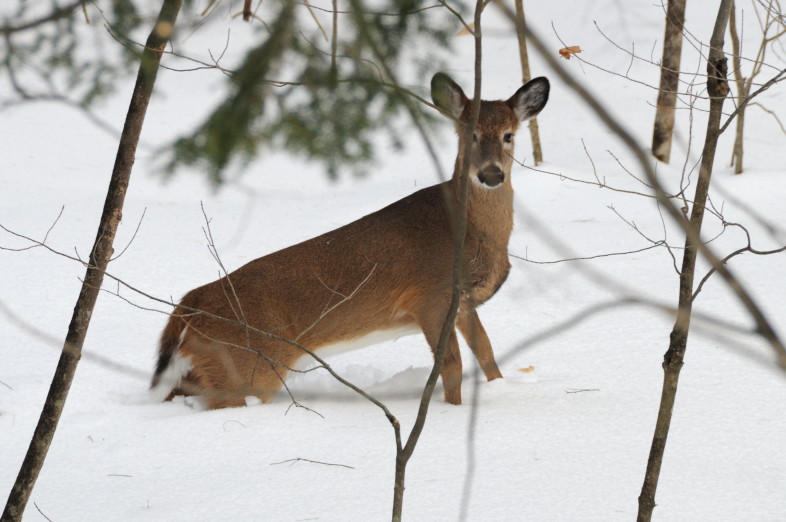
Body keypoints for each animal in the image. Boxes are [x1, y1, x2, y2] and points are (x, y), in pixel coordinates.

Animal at [150, 72, 550, 409]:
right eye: (470, 135)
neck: (469, 233)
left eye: (509, 135)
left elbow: (487, 353)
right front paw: (454, 411)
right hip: (248, 366)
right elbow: (452, 365)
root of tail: (188, 305)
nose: (491, 174)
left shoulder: (463, 304)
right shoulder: (431, 295)